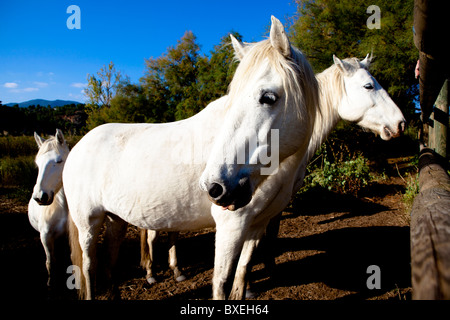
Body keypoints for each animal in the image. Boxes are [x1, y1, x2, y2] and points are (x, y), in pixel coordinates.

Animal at [27, 129, 70, 286]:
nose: (40, 196)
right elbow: (50, 263)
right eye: (37, 164)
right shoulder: (45, 236)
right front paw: (51, 284)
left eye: (59, 161)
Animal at [64, 16, 320, 298]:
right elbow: (221, 282)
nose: (214, 187)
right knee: (89, 267)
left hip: (116, 220)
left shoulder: (256, 225)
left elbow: (243, 272)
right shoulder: (231, 226)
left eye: (268, 97)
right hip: (88, 223)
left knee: (110, 262)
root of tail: (77, 147)